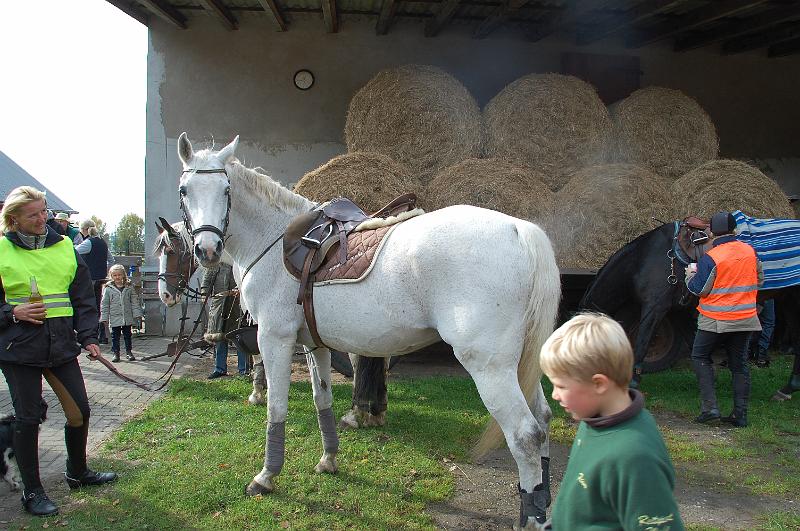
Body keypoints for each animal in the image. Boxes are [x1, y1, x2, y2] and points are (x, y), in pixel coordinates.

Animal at [178, 134, 560, 528]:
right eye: (184, 190)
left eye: (226, 190)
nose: (207, 250)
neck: (273, 239)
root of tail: (519, 230)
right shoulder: (314, 345)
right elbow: (322, 400)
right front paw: (329, 460)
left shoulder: (274, 339)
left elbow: (276, 407)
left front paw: (266, 476)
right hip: (521, 364)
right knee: (544, 421)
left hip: (490, 367)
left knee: (526, 436)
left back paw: (532, 518)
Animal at [580, 218, 800, 396]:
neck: (643, 258)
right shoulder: (678, 311)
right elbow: (693, 341)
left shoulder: (656, 307)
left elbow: (642, 341)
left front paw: (634, 380)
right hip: (789, 301)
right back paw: (788, 388)